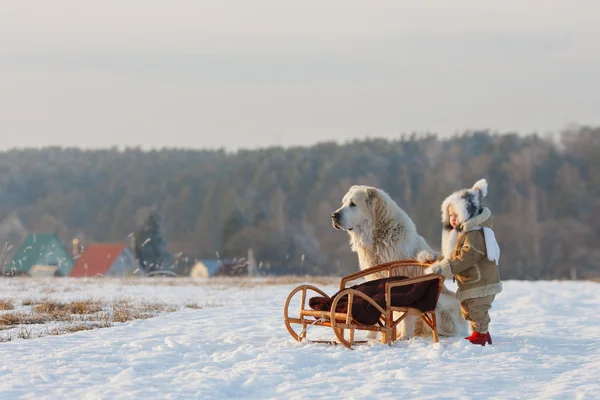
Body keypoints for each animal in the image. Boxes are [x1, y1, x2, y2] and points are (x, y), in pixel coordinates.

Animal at [332, 186, 468, 340]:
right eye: (343, 203)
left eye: (353, 204)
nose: (334, 215)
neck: (377, 236)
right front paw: (371, 336)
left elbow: (406, 313)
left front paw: (404, 337)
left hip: (443, 304)